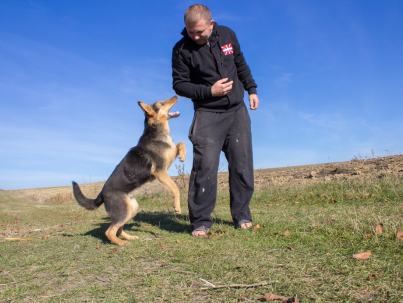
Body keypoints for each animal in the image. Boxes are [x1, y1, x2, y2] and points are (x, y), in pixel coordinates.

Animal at [72, 97, 186, 247]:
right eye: (162, 103)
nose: (176, 96)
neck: (156, 132)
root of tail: (102, 194)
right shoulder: (161, 170)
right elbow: (175, 188)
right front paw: (177, 208)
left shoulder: (168, 159)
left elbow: (180, 143)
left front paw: (183, 155)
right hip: (124, 211)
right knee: (109, 231)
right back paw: (121, 243)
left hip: (131, 210)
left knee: (118, 229)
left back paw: (129, 238)